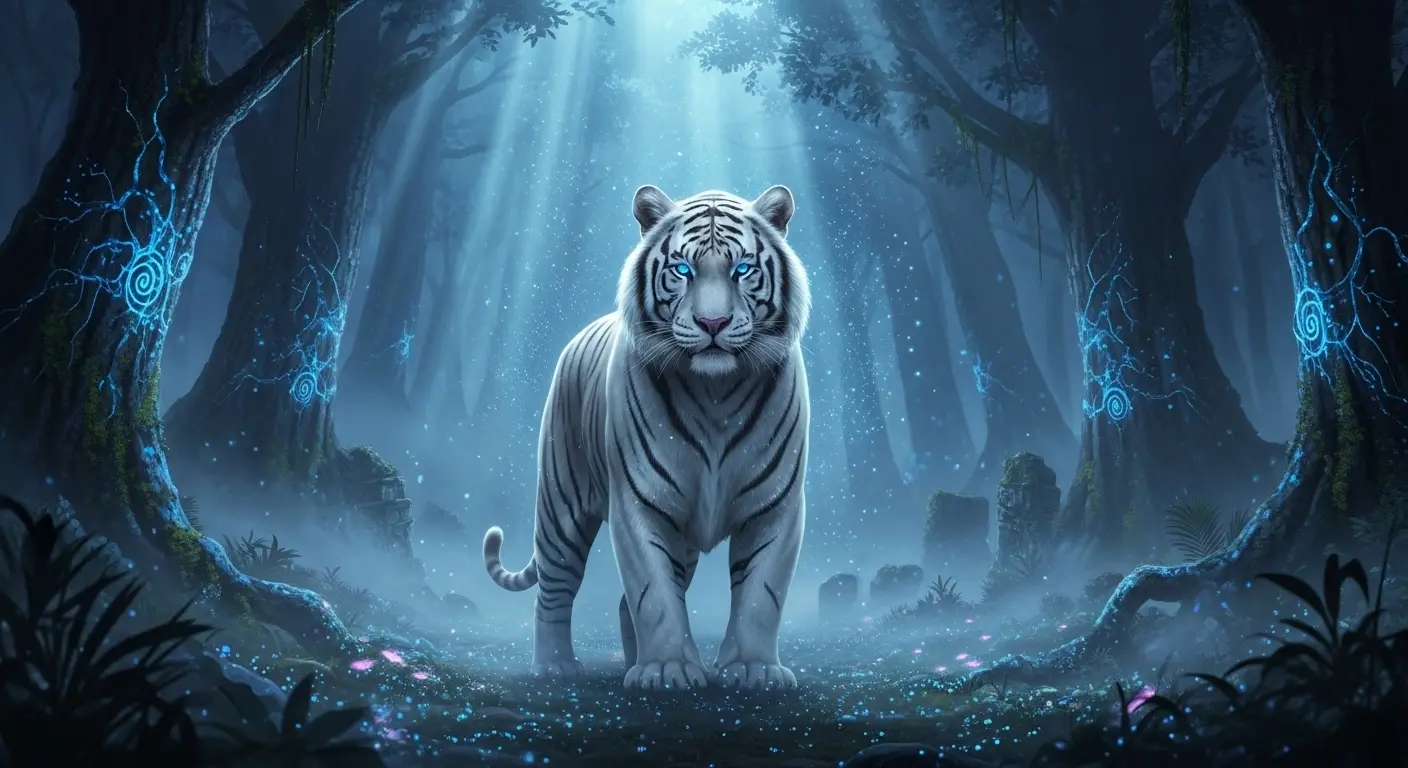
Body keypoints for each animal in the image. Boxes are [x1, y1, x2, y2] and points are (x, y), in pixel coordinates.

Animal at [481, 184, 811, 691]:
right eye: (682, 270)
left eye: (742, 269)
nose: (712, 324)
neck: (716, 392)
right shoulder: (640, 501)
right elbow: (652, 591)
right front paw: (668, 669)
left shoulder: (775, 505)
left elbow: (762, 593)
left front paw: (753, 671)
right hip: (561, 505)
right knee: (555, 588)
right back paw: (555, 667)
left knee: (625, 601)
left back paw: (630, 660)